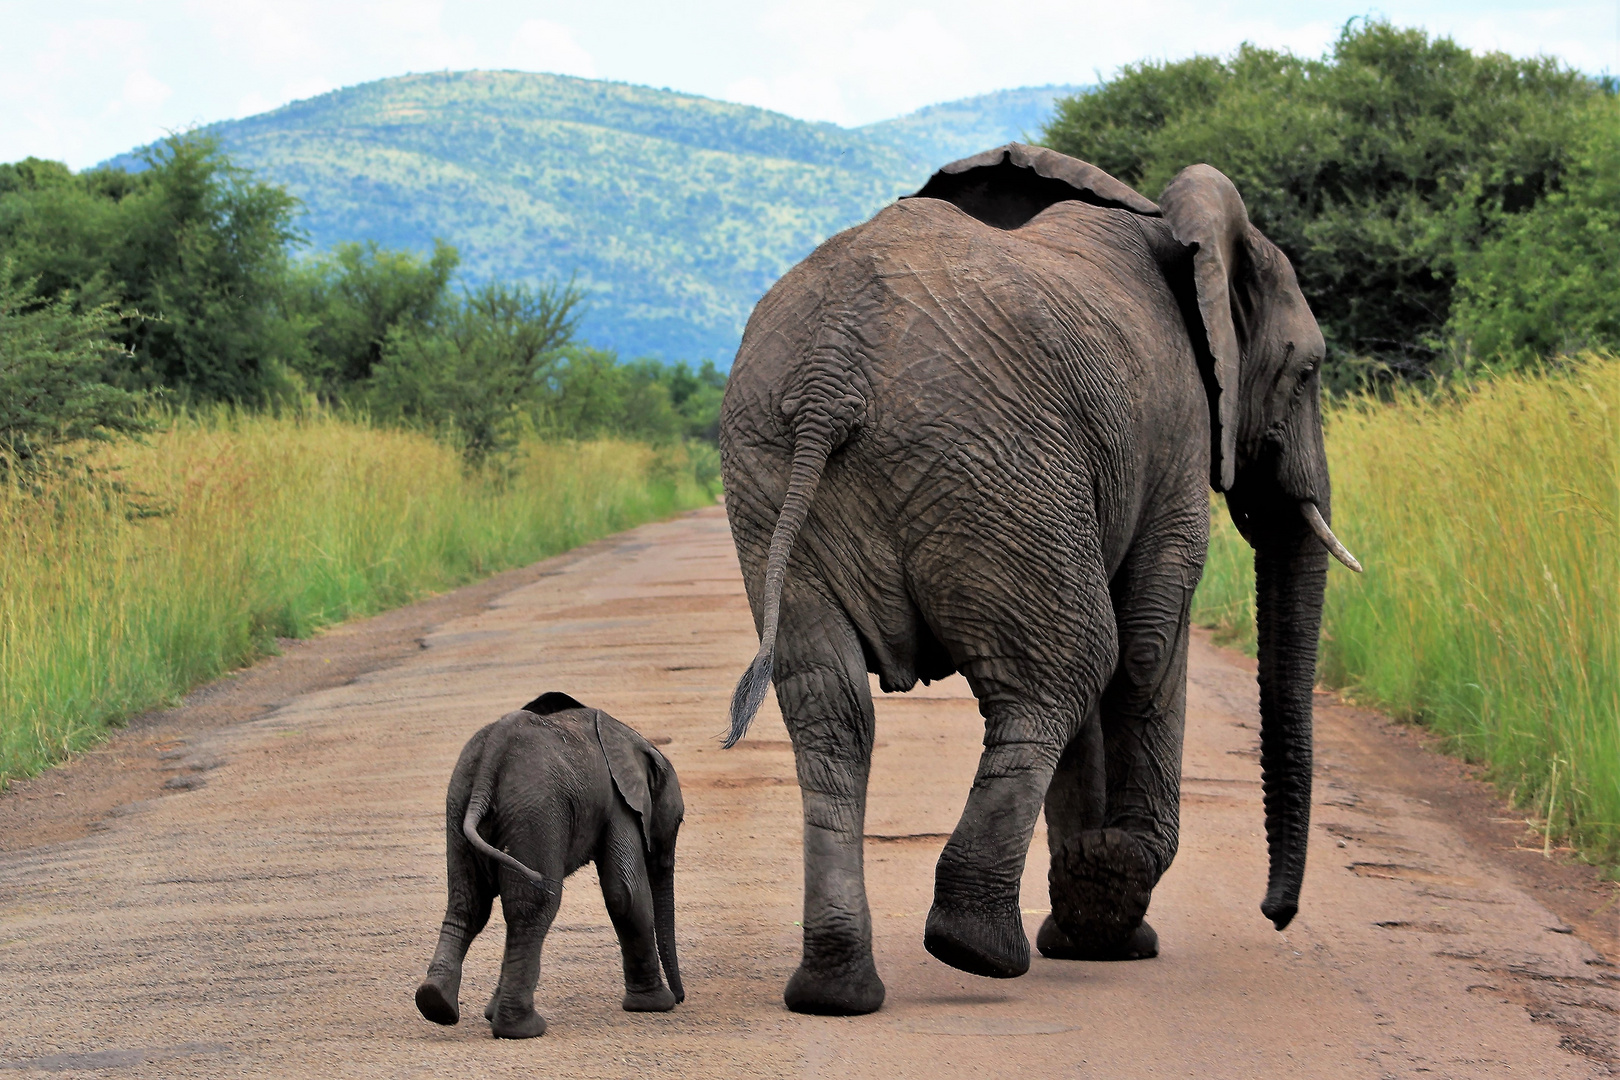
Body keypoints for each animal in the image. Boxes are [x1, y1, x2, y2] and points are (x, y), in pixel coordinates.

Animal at [414, 693, 686, 1036]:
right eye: (678, 821)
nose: (681, 998)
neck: (635, 740)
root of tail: (492, 753)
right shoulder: (617, 803)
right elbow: (626, 895)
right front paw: (655, 1005)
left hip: (459, 803)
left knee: (468, 904)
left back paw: (436, 1004)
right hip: (535, 813)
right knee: (535, 906)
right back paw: (523, 1029)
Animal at [719, 141, 1354, 1016]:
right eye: (1309, 371)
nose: (1277, 914)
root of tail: (828, 370)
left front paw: (1093, 925)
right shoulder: (1178, 431)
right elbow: (1149, 642)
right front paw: (1111, 909)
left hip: (773, 470)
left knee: (831, 706)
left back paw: (835, 991)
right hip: (994, 466)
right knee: (1068, 665)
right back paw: (977, 947)